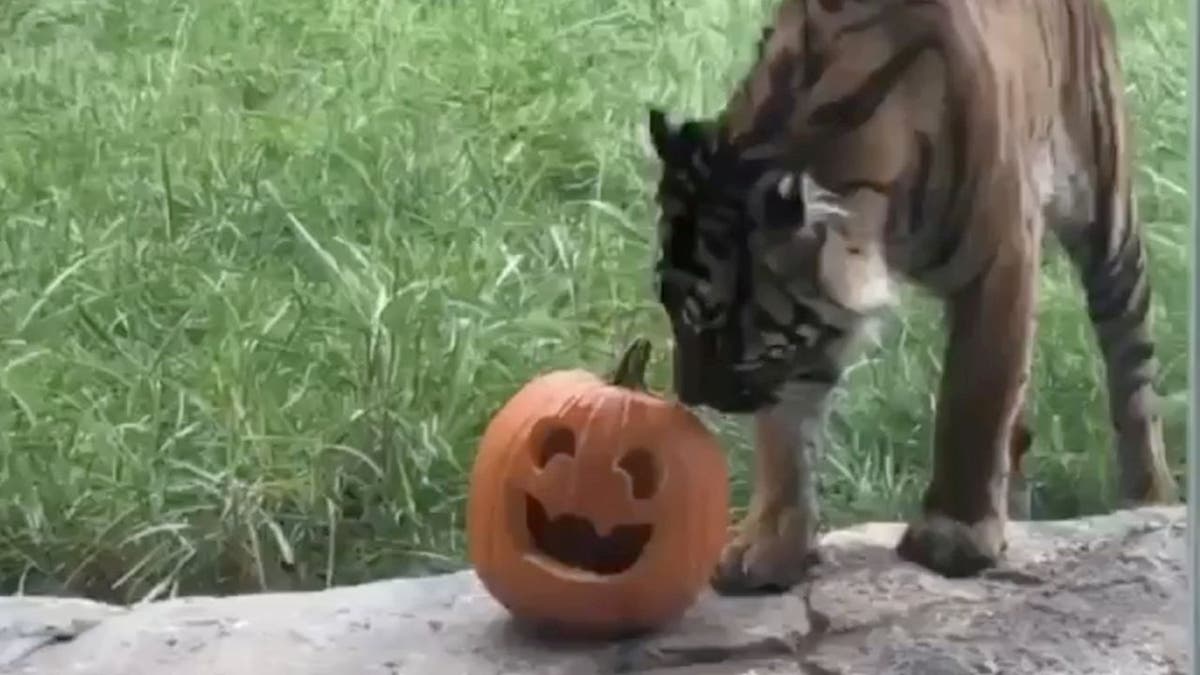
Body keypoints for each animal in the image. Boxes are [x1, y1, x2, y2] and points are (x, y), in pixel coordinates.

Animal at [648, 0, 1180, 588]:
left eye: (713, 323)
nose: (688, 395)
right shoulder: (810, 331)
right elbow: (786, 427)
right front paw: (768, 544)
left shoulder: (1001, 260)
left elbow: (974, 397)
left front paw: (955, 534)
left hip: (1106, 210)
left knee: (1132, 364)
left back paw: (1150, 495)